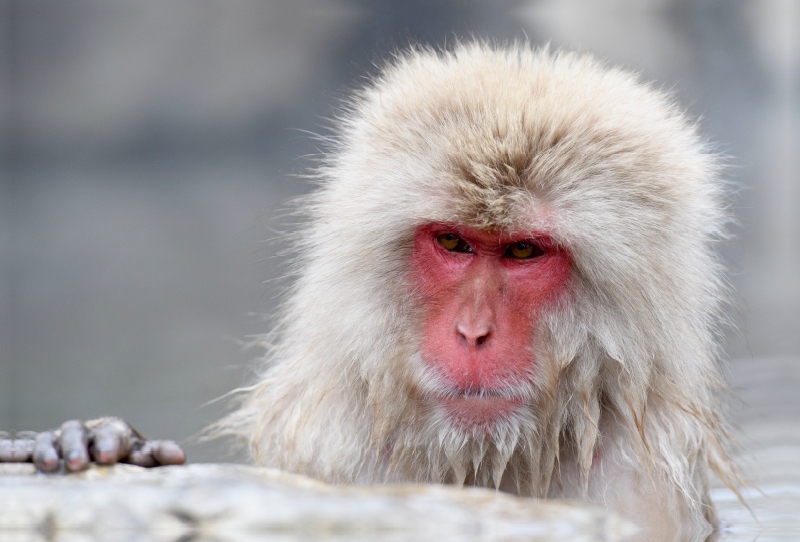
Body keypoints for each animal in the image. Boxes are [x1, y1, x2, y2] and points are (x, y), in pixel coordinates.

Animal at [6, 44, 744, 540]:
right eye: (453, 243)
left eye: (524, 251)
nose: (473, 333)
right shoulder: (322, 451)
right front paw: (100, 441)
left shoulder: (638, 489)